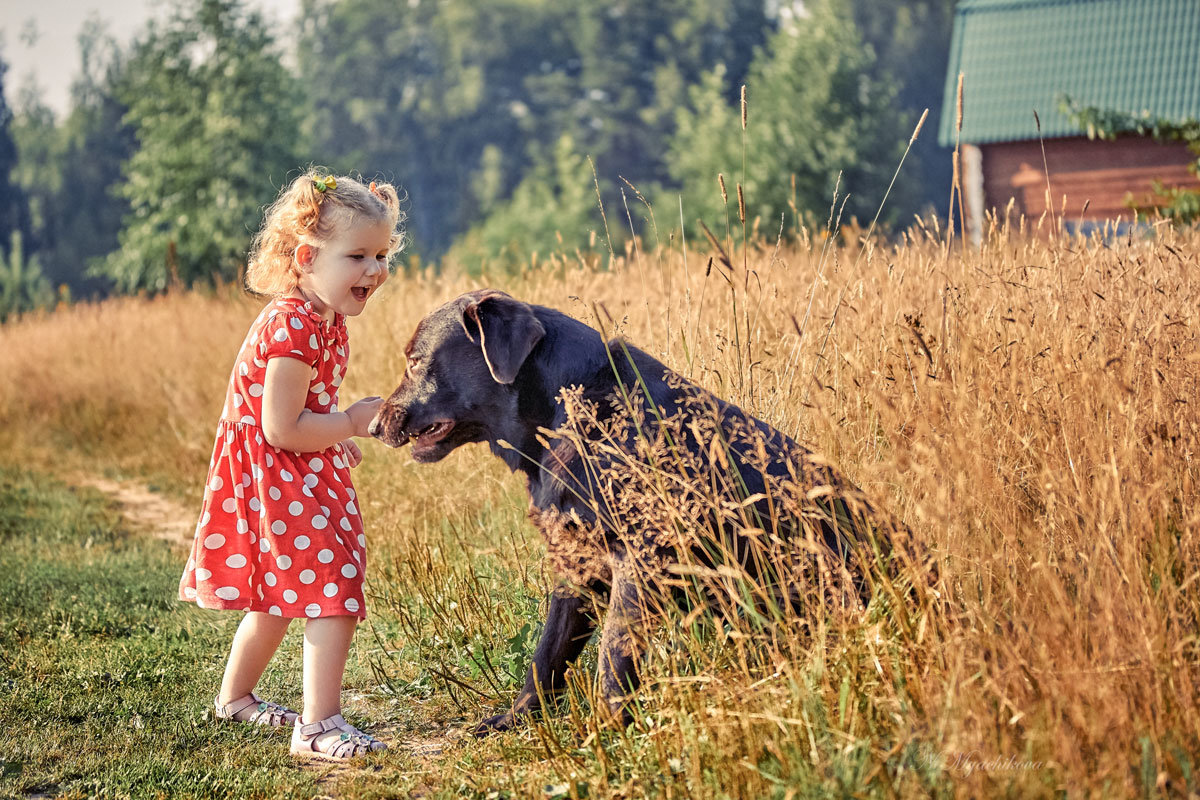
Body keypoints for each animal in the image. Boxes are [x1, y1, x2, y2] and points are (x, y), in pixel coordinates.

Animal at [369, 291, 902, 734]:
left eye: (415, 361)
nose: (373, 426)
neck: (570, 413)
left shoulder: (641, 561)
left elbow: (612, 656)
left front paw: (611, 731)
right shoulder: (575, 563)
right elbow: (547, 655)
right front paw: (518, 719)